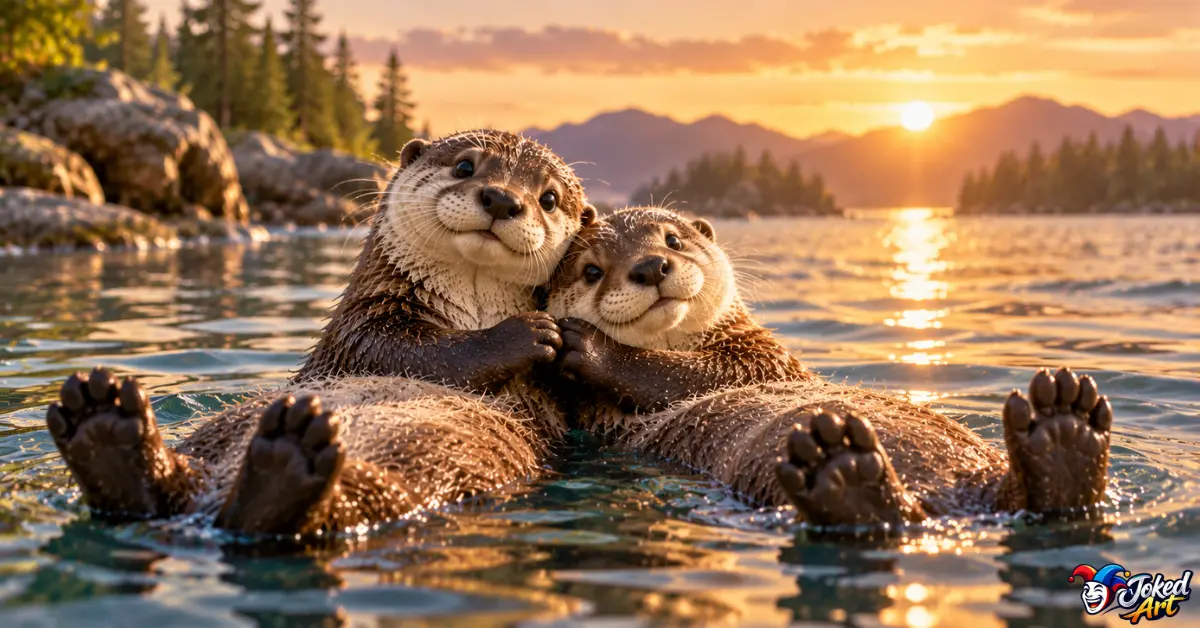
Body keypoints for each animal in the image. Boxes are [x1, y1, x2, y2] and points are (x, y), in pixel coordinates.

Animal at [45, 130, 595, 534]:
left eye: (549, 198)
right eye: (465, 166)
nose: (502, 199)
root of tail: (206, 509)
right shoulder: (362, 328)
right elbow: (419, 353)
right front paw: (531, 333)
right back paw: (108, 427)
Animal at [545, 207, 1115, 526]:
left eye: (673, 240)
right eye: (592, 271)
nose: (650, 266)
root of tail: (949, 506)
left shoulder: (760, 357)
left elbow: (683, 372)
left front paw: (588, 345)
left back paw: (1063, 429)